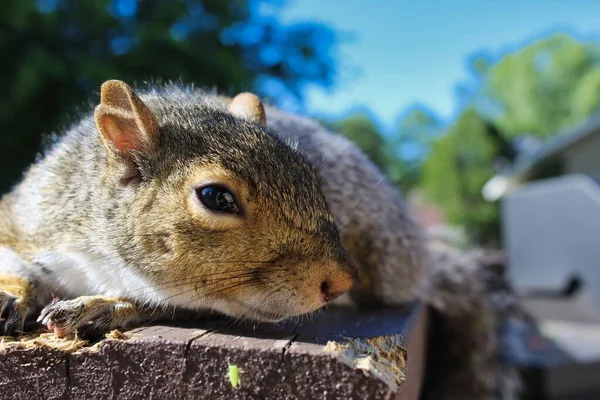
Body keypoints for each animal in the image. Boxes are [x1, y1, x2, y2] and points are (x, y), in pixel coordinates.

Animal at [0, 79, 524, 398]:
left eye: (311, 175)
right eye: (215, 196)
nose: (339, 281)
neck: (103, 255)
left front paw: (102, 306)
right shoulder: (30, 220)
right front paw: (14, 294)